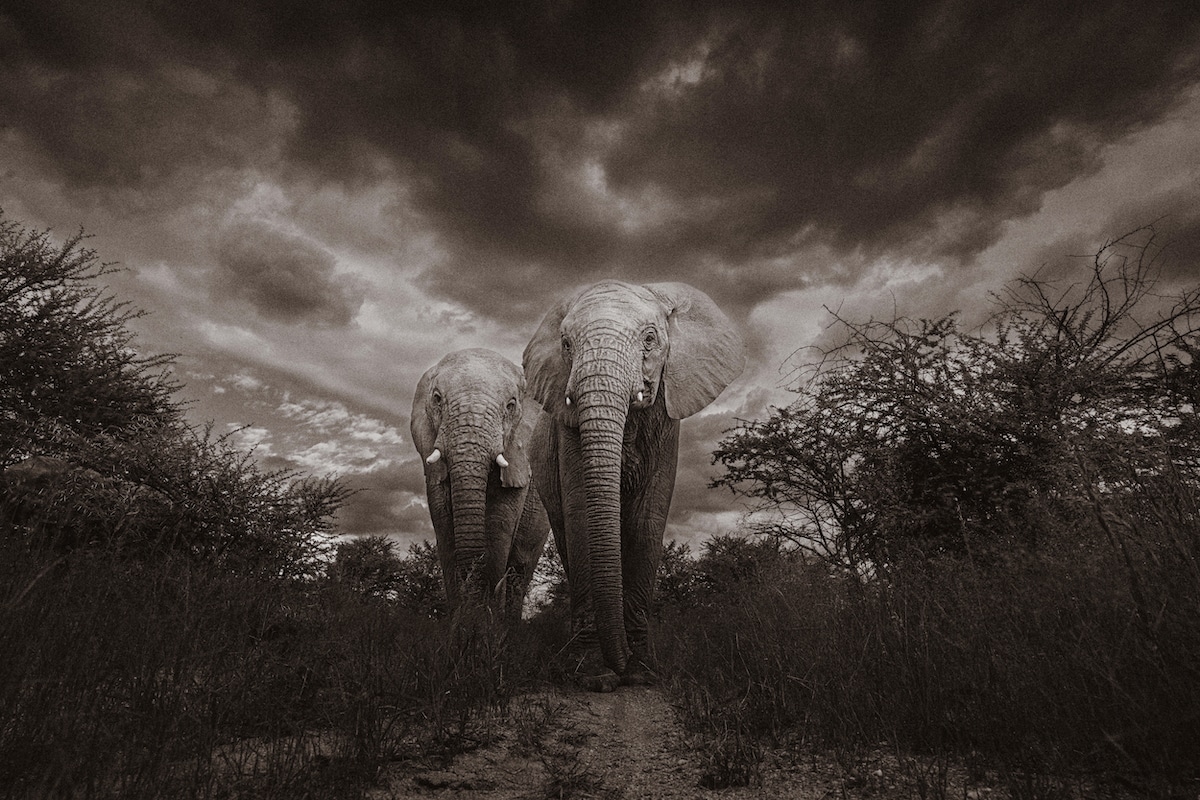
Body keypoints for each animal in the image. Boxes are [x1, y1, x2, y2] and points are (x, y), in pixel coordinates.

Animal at [408, 347, 549, 623]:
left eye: (511, 405)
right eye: (437, 398)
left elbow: (498, 526)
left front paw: (486, 627)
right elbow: (444, 527)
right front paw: (461, 625)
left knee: (521, 567)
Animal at [523, 280, 739, 690]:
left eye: (650, 339)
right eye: (566, 344)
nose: (619, 667)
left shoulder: (668, 424)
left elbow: (646, 520)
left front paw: (640, 673)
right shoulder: (567, 428)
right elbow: (581, 517)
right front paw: (594, 675)